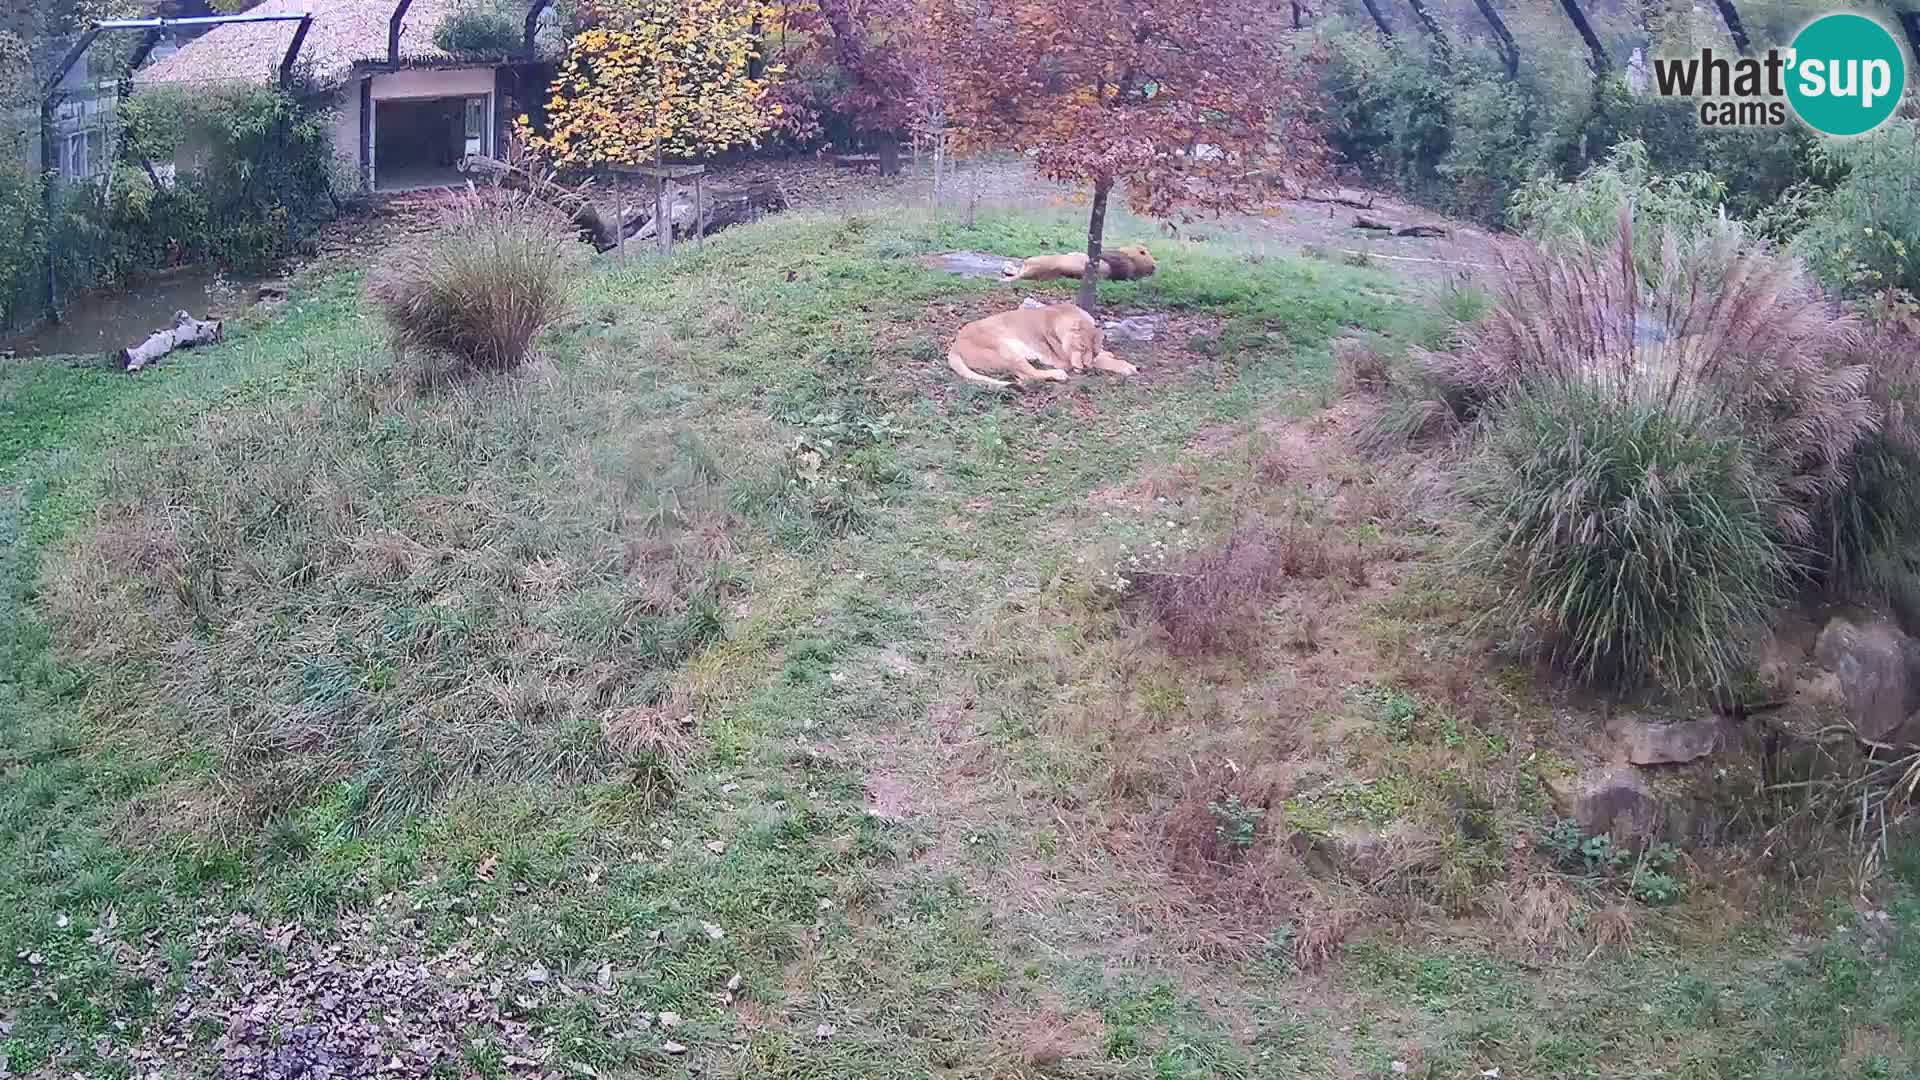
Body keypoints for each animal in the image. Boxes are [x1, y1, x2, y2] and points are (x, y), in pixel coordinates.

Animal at [947, 302, 1139, 389]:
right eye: (1082, 347)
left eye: (1094, 350)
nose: (1085, 367)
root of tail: (954, 346)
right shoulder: (1064, 360)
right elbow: (1103, 362)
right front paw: (1127, 366)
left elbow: (1103, 356)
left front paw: (1108, 354)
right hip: (1004, 349)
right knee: (1029, 375)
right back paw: (1058, 375)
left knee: (1023, 376)